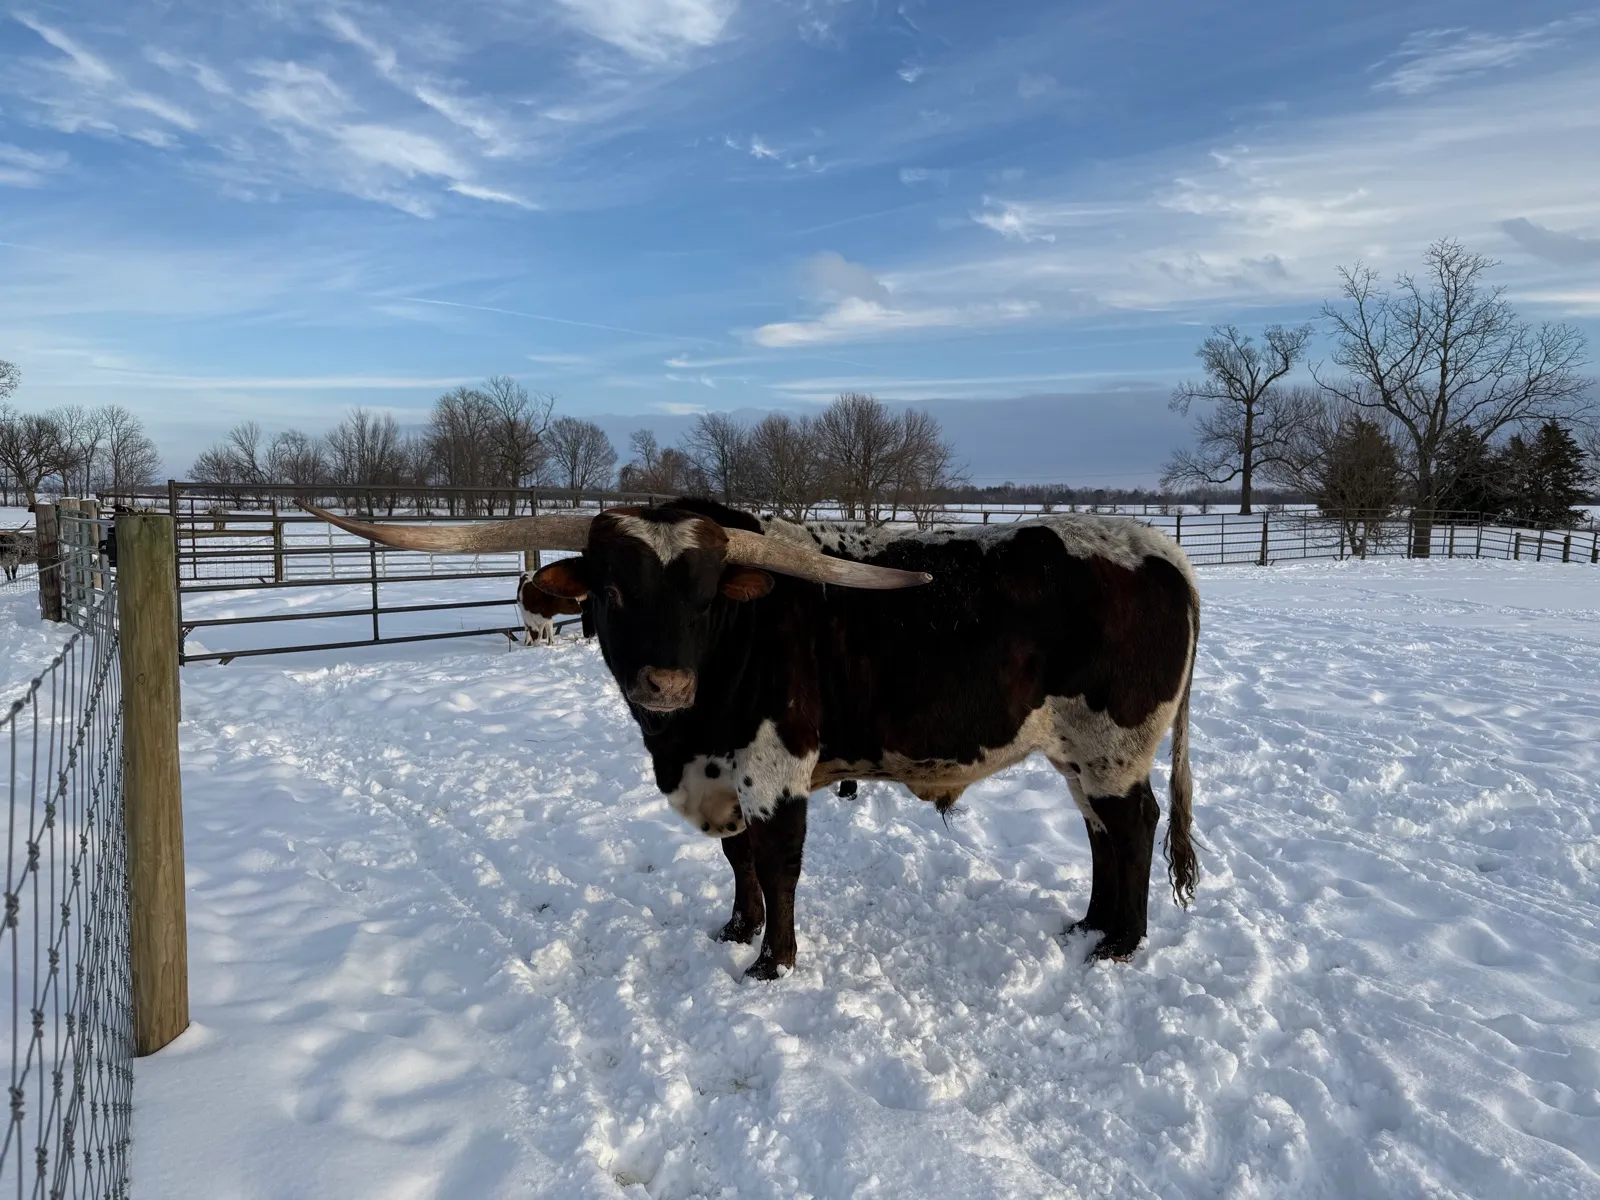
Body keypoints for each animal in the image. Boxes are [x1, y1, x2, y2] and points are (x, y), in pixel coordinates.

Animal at [303, 499, 1200, 980]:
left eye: (705, 597)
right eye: (614, 592)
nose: (665, 685)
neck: (688, 731)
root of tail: (1160, 549)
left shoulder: (774, 771)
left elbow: (777, 864)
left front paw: (773, 960)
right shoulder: (718, 771)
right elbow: (737, 861)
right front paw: (735, 929)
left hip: (1114, 744)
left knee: (1134, 827)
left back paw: (1121, 943)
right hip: (1080, 751)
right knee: (1101, 832)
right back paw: (1088, 926)